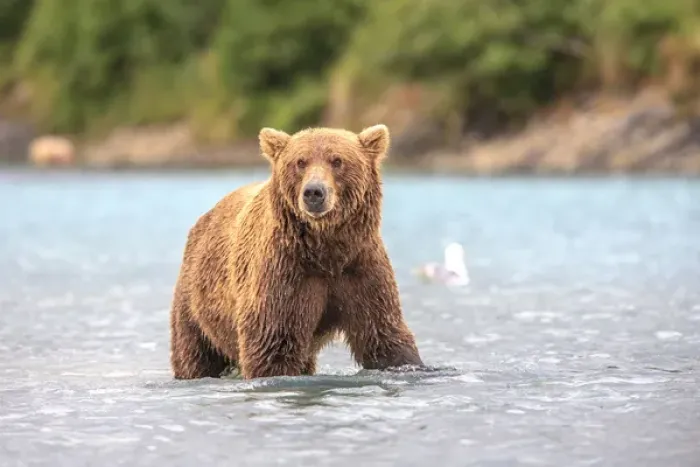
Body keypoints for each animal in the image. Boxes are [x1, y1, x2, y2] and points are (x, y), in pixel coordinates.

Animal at [169, 124, 424, 380]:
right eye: (300, 162)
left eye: (337, 160)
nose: (314, 192)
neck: (326, 250)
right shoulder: (285, 273)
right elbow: (273, 343)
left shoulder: (360, 267)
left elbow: (382, 335)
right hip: (196, 302)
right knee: (194, 353)